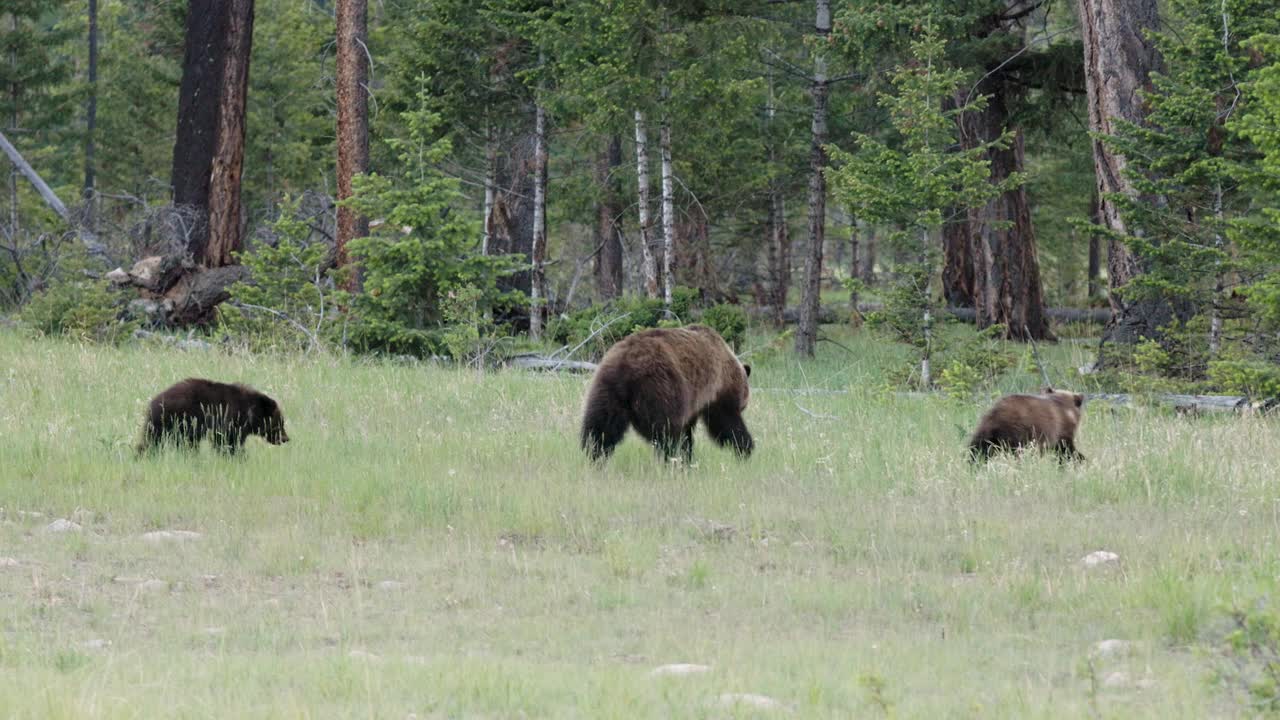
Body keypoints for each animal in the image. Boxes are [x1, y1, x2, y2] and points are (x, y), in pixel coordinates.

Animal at [138, 379, 291, 450]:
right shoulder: (231, 421)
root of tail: (154, 401)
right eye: (280, 422)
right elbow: (228, 440)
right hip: (177, 420)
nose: (286, 438)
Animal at [581, 324, 747, 461]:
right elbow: (725, 422)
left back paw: (594, 456)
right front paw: (744, 447)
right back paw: (673, 458)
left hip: (606, 390)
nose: (743, 406)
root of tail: (626, 365)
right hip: (660, 389)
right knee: (666, 433)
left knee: (600, 428)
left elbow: (688, 430)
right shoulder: (716, 389)